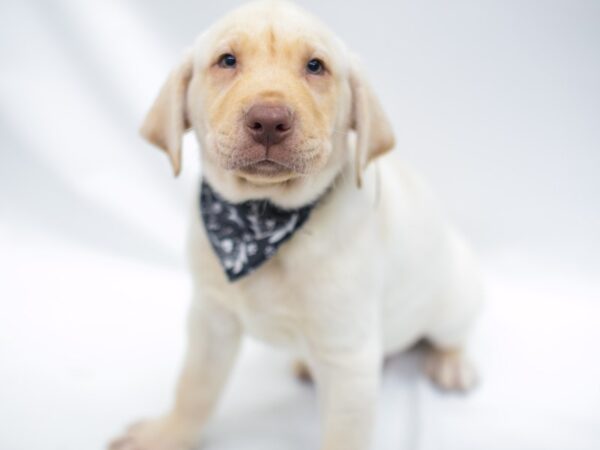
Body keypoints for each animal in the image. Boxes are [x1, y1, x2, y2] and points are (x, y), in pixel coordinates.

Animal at [109, 0, 482, 450]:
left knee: (452, 335)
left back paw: (452, 364)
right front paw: (166, 434)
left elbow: (343, 436)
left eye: (315, 66)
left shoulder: (348, 358)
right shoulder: (211, 319)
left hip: (453, 297)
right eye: (227, 60)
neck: (262, 218)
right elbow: (194, 388)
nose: (269, 120)